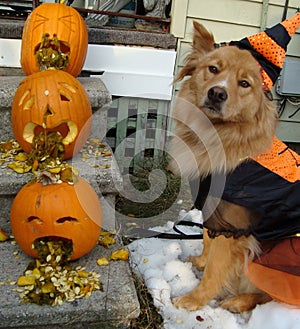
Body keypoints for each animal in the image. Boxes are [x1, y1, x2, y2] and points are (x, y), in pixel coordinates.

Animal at [166, 21, 278, 312]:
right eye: (213, 69)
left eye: (244, 84)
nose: (217, 93)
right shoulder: (212, 208)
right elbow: (207, 241)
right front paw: (200, 262)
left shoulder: (233, 227)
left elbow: (215, 269)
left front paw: (193, 300)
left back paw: (239, 301)